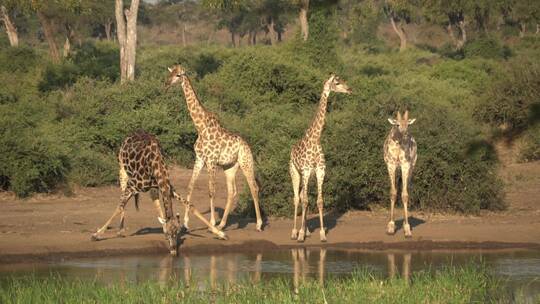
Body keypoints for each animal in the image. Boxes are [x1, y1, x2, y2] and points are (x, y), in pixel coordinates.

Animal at [90, 129, 226, 255]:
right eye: (169, 234)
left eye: (177, 232)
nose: (173, 251)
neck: (157, 166)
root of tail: (131, 133)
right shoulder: (132, 186)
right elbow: (119, 207)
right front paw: (96, 235)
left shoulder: (168, 187)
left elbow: (191, 206)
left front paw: (221, 234)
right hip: (123, 171)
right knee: (122, 198)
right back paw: (120, 231)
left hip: (153, 188)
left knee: (154, 200)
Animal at [167, 63, 264, 230]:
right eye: (170, 73)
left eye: (178, 75)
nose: (167, 83)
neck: (201, 127)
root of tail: (247, 146)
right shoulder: (199, 159)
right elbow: (190, 186)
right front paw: (186, 222)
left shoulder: (211, 161)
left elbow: (211, 190)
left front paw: (211, 222)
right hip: (230, 167)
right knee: (232, 192)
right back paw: (222, 224)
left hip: (246, 162)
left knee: (253, 187)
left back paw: (258, 224)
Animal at [288, 74, 352, 242]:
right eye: (337, 82)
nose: (350, 89)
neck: (315, 139)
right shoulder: (305, 170)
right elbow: (304, 201)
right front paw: (300, 235)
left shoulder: (320, 171)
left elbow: (319, 201)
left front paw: (322, 234)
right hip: (295, 172)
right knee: (297, 198)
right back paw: (295, 232)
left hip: (308, 176)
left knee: (303, 196)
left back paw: (307, 231)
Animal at [384, 110, 418, 239]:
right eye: (397, 124)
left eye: (408, 124)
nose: (405, 135)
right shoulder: (391, 165)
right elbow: (393, 193)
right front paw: (391, 227)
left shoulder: (405, 165)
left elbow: (404, 195)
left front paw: (407, 229)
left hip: (412, 167)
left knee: (406, 189)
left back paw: (404, 223)